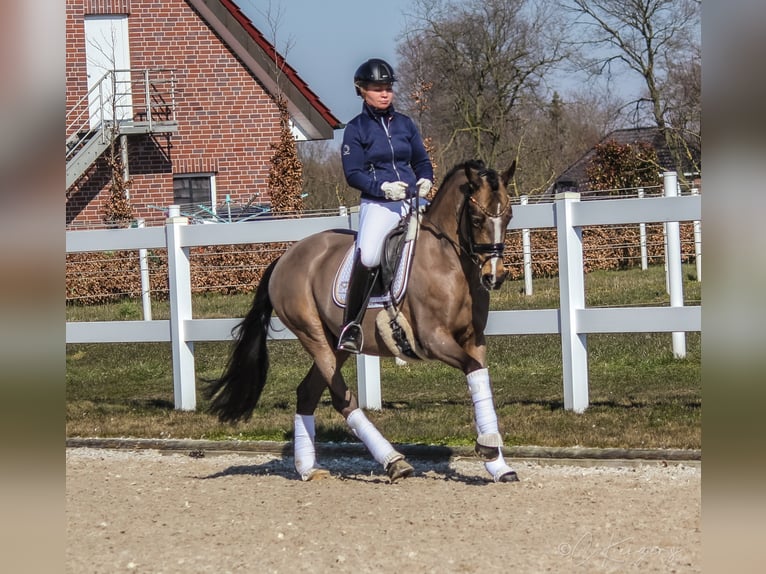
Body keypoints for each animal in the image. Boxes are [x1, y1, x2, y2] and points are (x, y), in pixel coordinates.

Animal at [207, 160, 520, 484]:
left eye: (509, 215)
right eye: (475, 218)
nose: (494, 277)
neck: (450, 262)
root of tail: (286, 256)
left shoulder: (474, 339)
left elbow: (480, 376)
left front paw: (498, 463)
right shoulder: (434, 339)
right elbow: (472, 369)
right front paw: (488, 449)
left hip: (336, 344)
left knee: (307, 393)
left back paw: (308, 468)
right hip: (313, 335)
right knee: (342, 398)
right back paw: (393, 461)